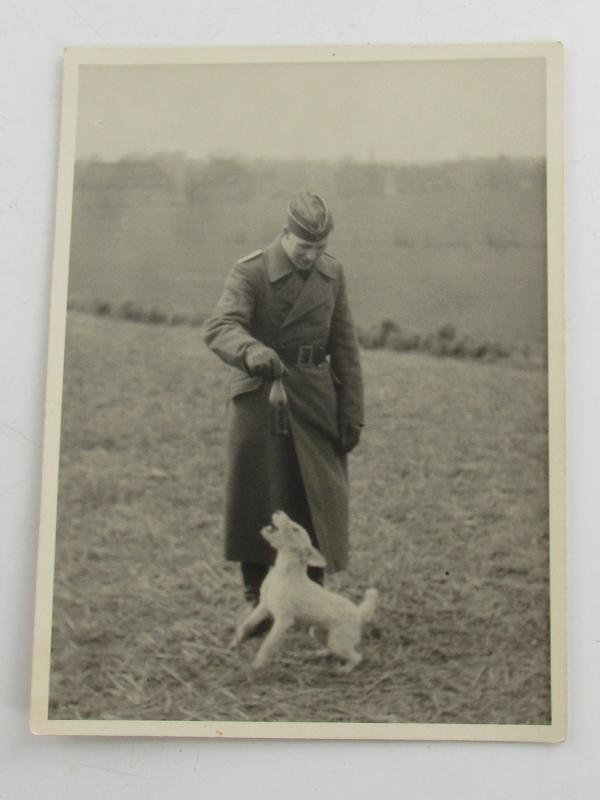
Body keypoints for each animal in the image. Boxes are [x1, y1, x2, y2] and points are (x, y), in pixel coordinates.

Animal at [231, 510, 380, 672]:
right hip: (320, 633)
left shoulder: (283, 620)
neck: (283, 574)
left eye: (295, 529)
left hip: (338, 641)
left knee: (357, 657)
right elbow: (247, 624)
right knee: (332, 650)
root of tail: (360, 613)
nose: (278, 511)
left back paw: (344, 670)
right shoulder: (264, 606)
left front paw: (257, 665)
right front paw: (235, 642)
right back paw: (314, 654)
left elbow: (268, 644)